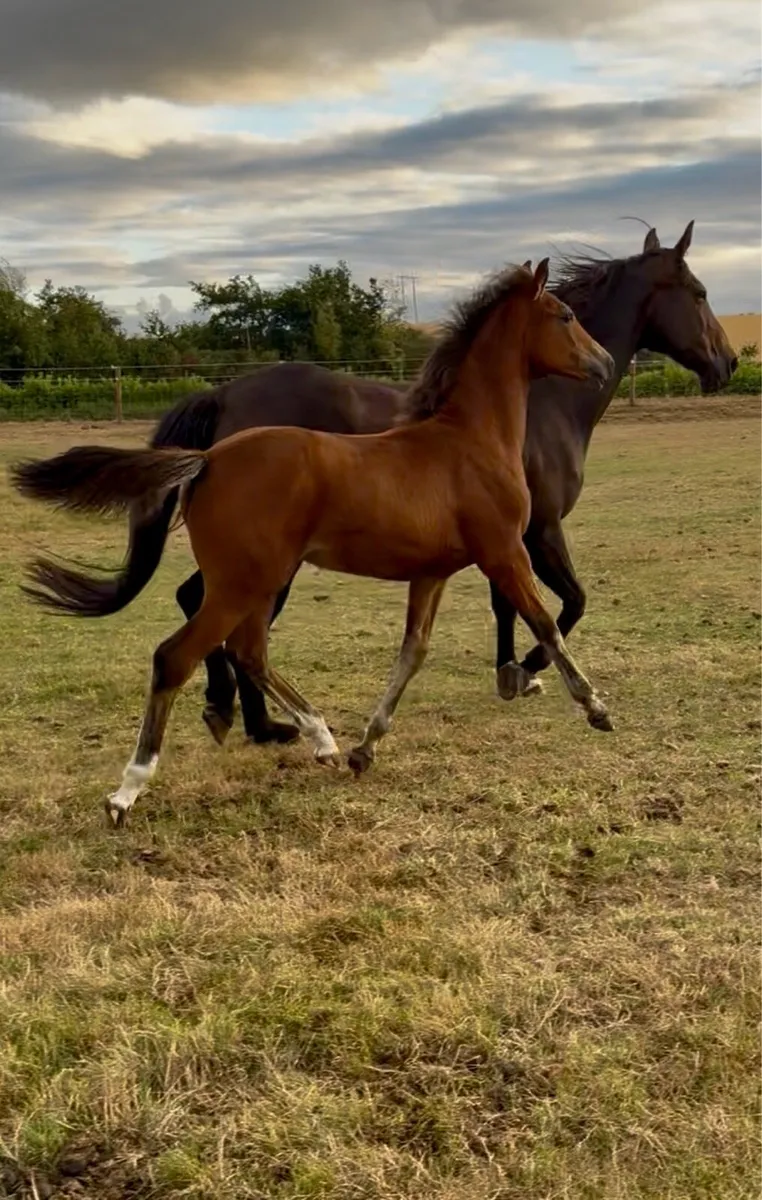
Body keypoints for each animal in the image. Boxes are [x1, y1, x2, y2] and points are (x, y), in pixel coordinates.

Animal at [12, 260, 615, 826]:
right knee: (178, 656)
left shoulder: (432, 572)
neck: (468, 442)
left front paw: (366, 747)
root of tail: (207, 460)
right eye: (565, 315)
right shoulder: (505, 551)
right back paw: (128, 791)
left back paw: (320, 738)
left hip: (261, 581)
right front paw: (593, 706)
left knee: (248, 650)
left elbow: (413, 651)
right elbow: (547, 622)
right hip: (243, 582)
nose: (606, 363)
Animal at [17, 221, 737, 748]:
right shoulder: (538, 531)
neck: (539, 406)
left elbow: (507, 606)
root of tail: (223, 397)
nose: (729, 362)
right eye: (701, 293)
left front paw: (510, 673)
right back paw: (260, 724)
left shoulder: (496, 539)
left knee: (206, 609)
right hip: (270, 565)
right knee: (217, 616)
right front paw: (532, 674)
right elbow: (567, 605)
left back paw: (239, 715)